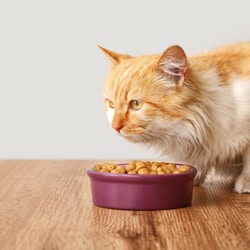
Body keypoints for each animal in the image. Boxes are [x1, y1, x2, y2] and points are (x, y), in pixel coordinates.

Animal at [98, 41, 250, 193]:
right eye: (111, 104)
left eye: (136, 104)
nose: (114, 127)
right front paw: (194, 174)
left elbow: (248, 158)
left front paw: (245, 180)